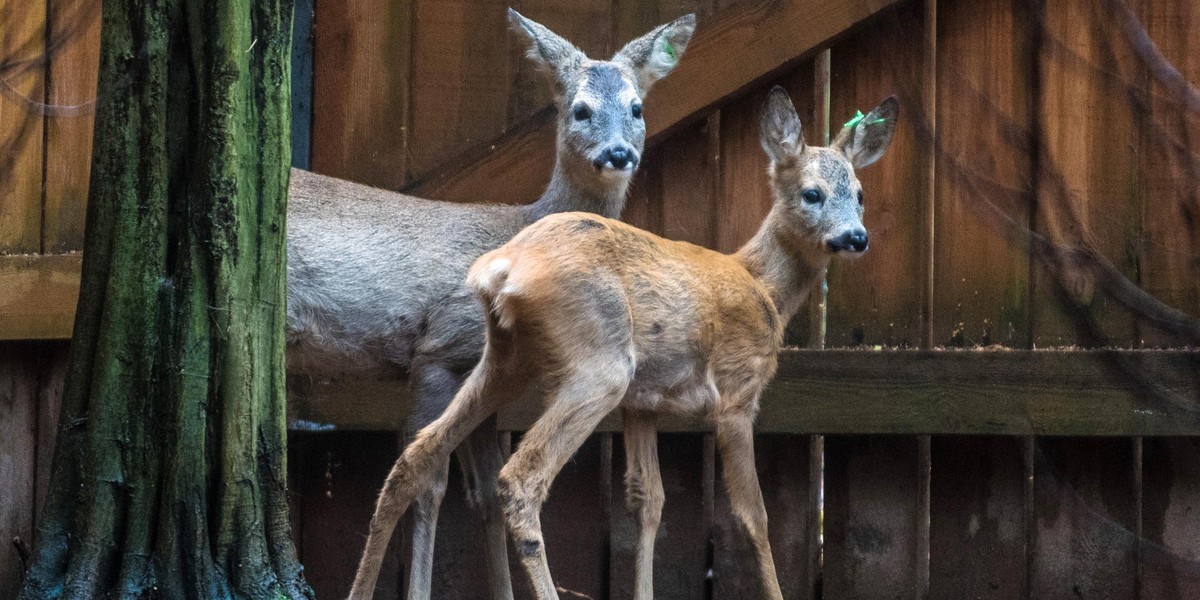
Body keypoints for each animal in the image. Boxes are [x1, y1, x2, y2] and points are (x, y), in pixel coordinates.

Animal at [285, 9, 696, 600]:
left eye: (637, 107)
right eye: (580, 109)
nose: (619, 153)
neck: (521, 226)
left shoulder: (482, 366)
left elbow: (482, 494)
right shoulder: (438, 348)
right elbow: (429, 483)